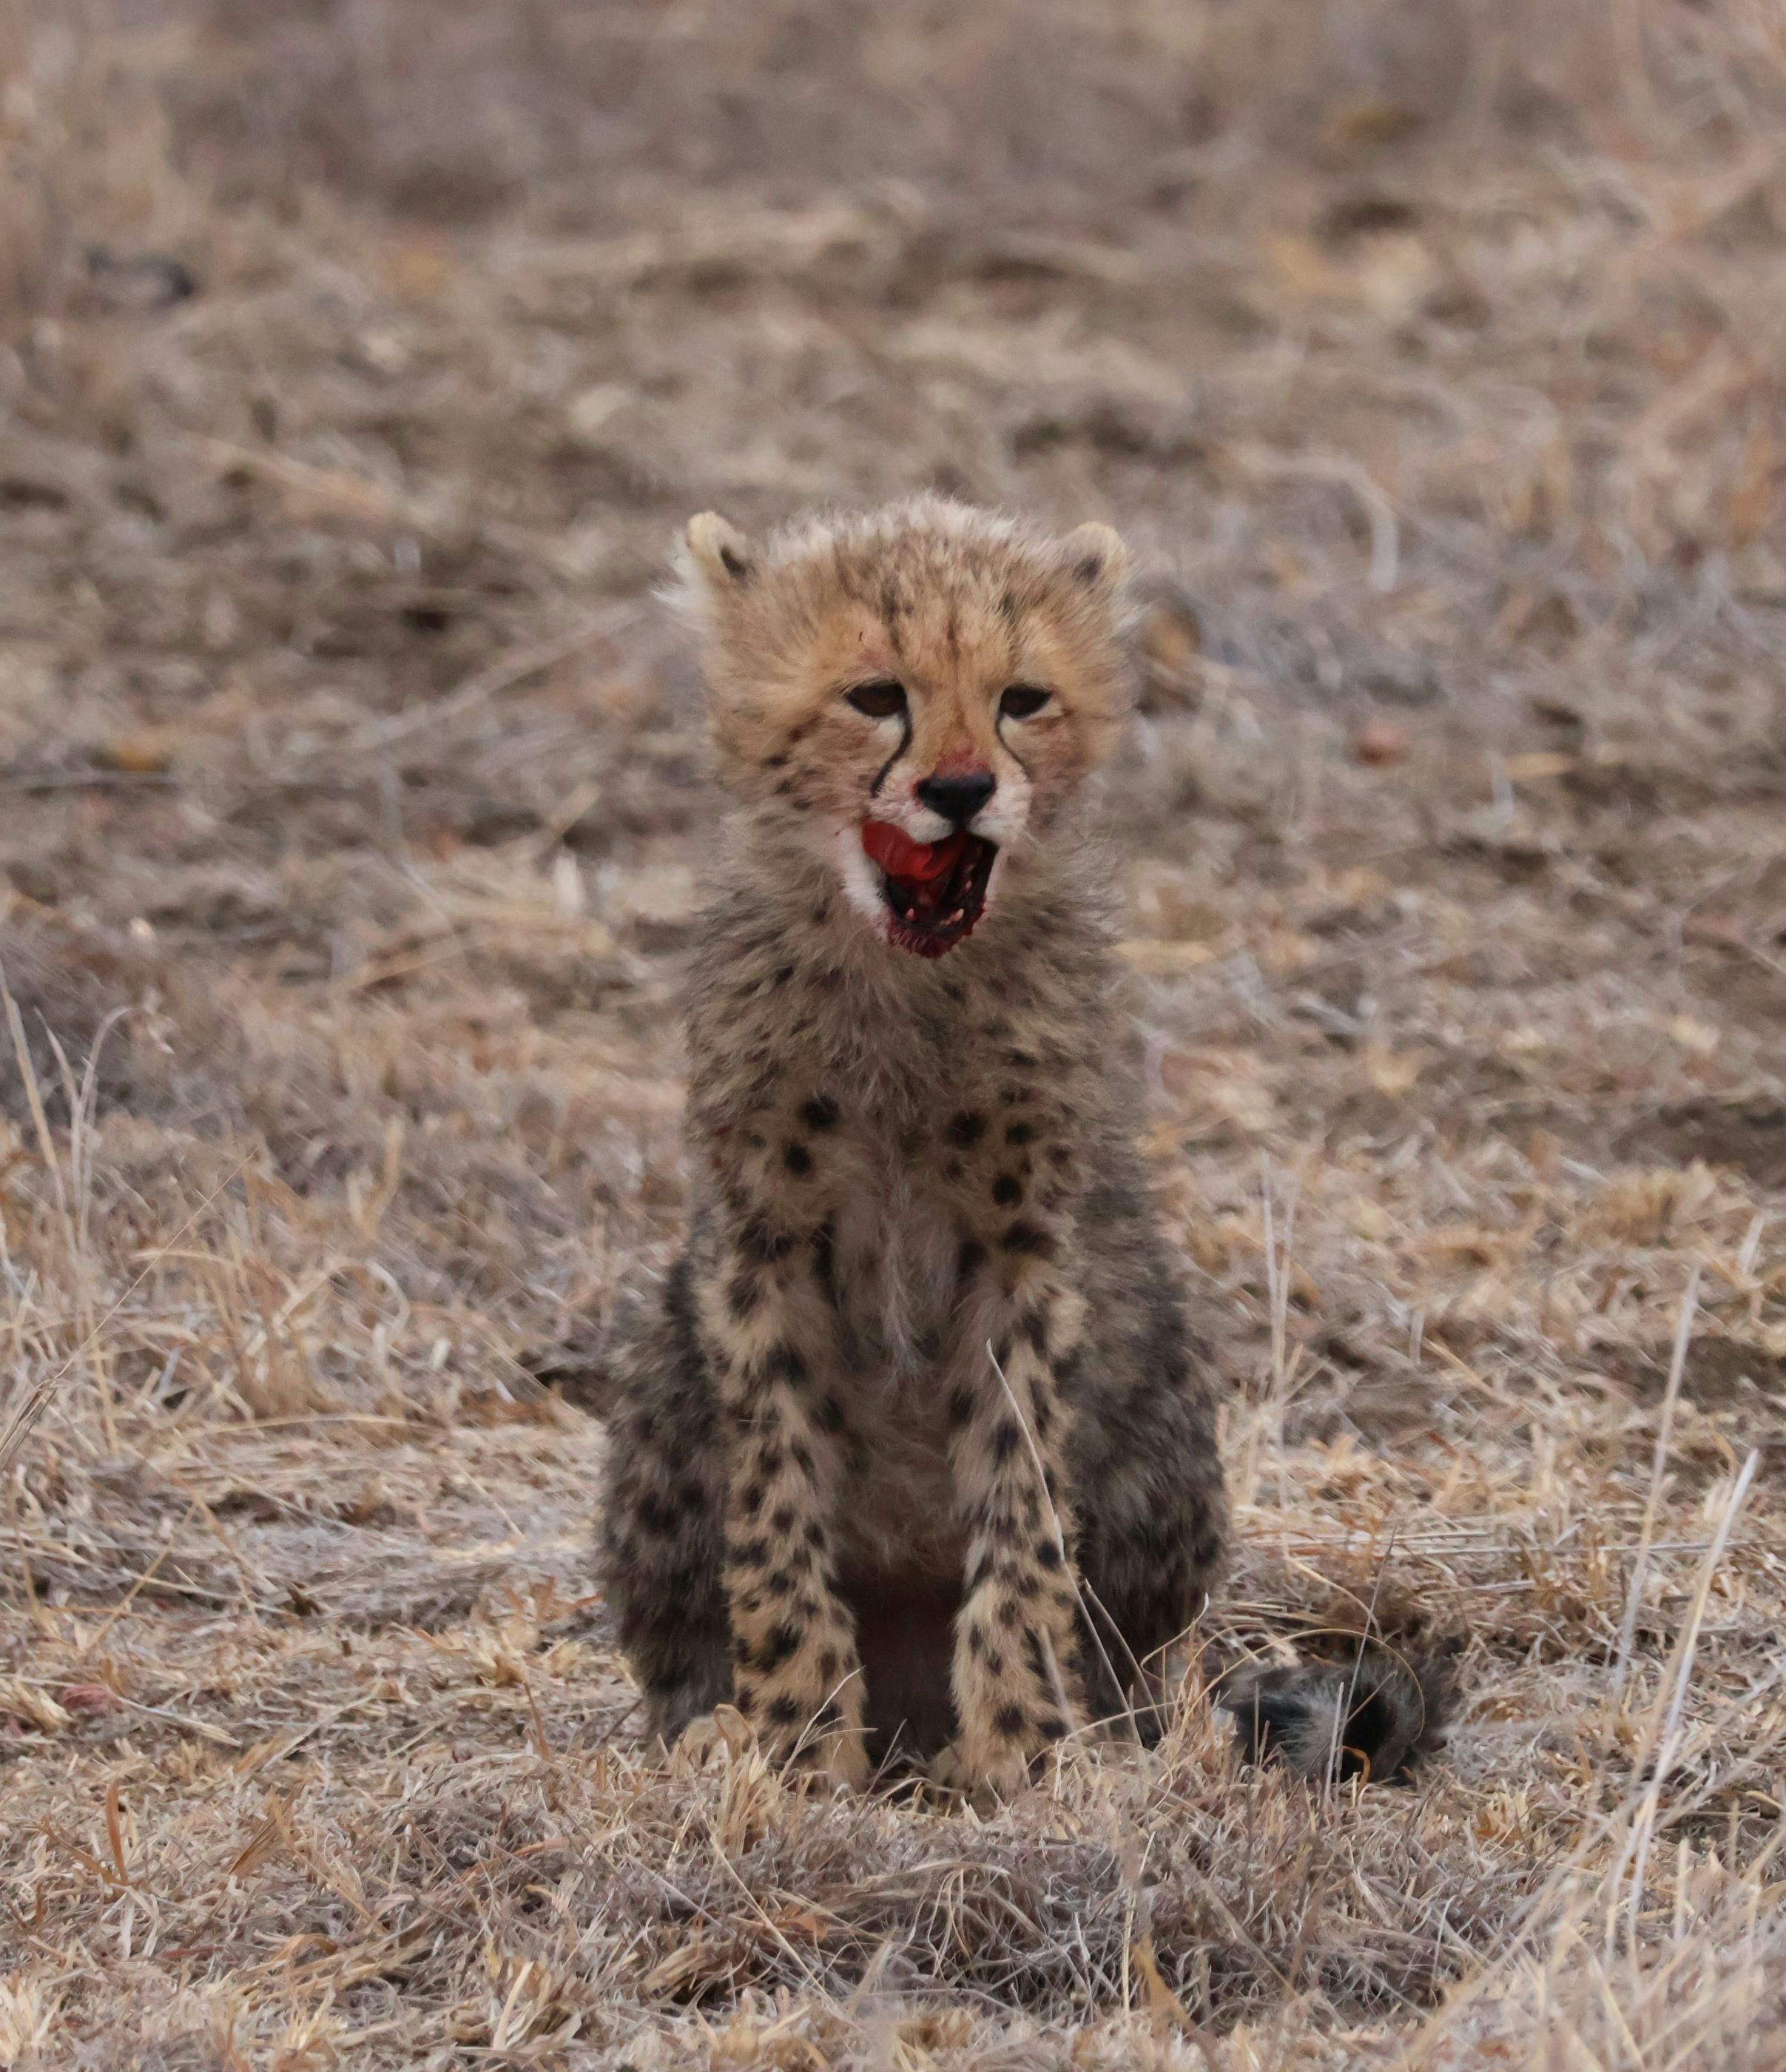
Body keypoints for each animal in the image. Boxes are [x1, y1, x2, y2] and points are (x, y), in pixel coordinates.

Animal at [594, 495, 1443, 1797]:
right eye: (874, 695)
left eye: (1022, 699)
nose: (957, 790)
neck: (907, 974)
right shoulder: (759, 1249)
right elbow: (776, 1509)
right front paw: (798, 1742)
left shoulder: (1025, 1254)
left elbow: (1020, 1500)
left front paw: (1020, 1747)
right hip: (660, 1386)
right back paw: (721, 1728)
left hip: (1163, 1430)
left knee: (1148, 1658)